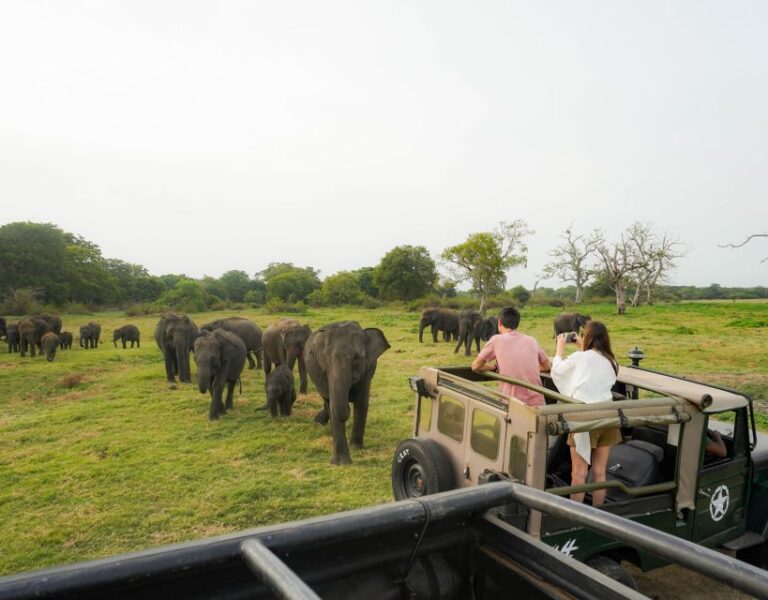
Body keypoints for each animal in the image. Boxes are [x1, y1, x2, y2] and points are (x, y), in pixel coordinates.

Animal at [306, 322, 390, 466]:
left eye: (356, 358)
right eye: (326, 360)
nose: (349, 398)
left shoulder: (366, 370)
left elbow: (361, 403)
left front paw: (356, 447)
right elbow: (333, 405)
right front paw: (340, 463)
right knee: (326, 401)